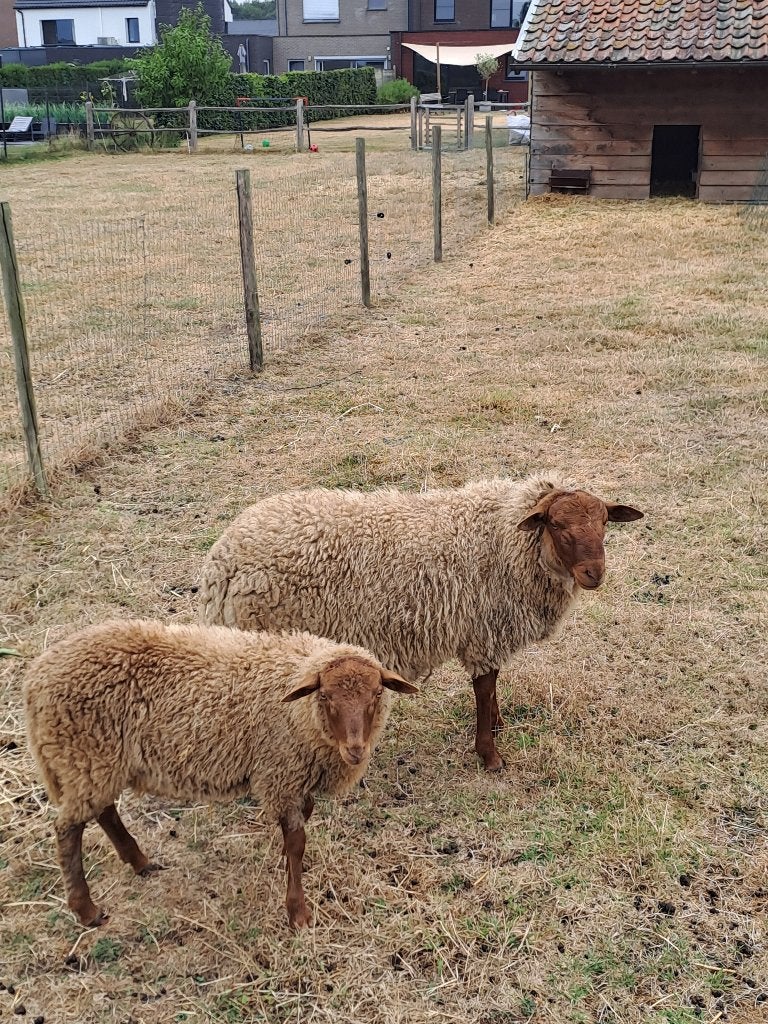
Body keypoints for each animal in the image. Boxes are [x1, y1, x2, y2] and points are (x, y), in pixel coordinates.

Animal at [23, 620, 417, 930]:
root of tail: (37, 678)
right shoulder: (281, 771)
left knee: (103, 810)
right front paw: (298, 913)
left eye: (376, 693)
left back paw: (140, 863)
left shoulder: (293, 775)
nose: (356, 750)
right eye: (326, 696)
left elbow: (301, 821)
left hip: (97, 763)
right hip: (85, 756)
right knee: (68, 829)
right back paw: (87, 910)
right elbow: (297, 841)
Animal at [199, 474, 643, 771]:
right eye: (555, 524)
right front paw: (490, 754)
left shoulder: (487, 631)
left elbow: (492, 686)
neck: (504, 541)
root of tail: (221, 562)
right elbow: (484, 688)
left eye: (604, 523)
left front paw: (497, 725)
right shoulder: (482, 632)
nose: (594, 574)